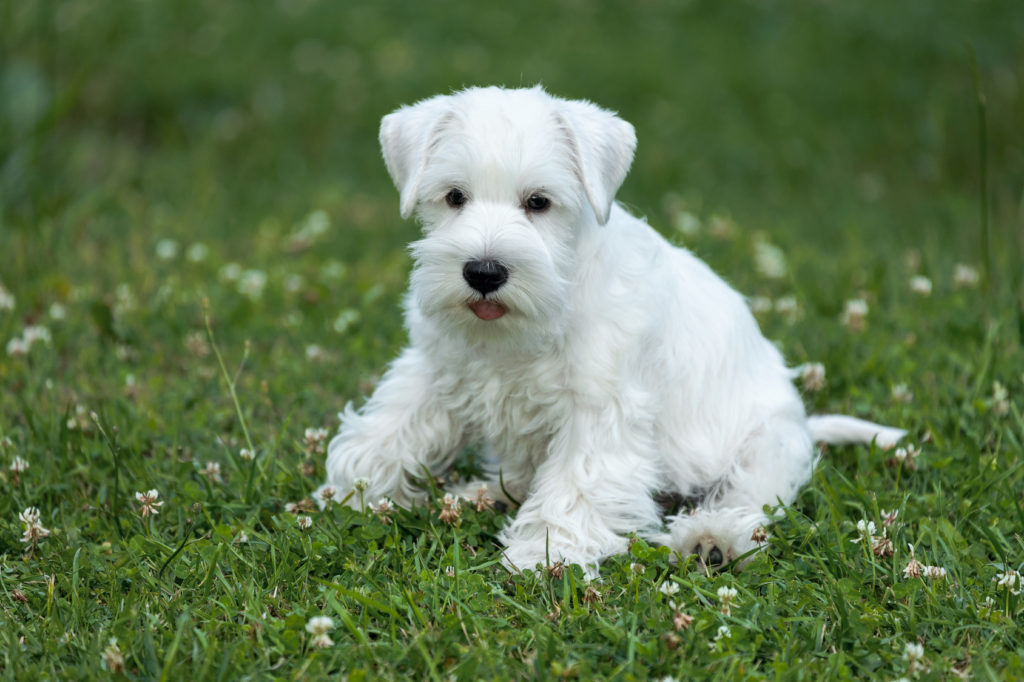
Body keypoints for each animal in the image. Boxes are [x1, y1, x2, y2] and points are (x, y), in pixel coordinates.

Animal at [319, 84, 905, 573]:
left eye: (539, 202)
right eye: (454, 196)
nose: (484, 273)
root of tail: (806, 423)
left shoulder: (600, 409)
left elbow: (575, 484)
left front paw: (544, 555)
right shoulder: (437, 369)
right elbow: (387, 431)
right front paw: (349, 491)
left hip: (764, 449)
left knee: (742, 501)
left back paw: (709, 540)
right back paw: (475, 496)